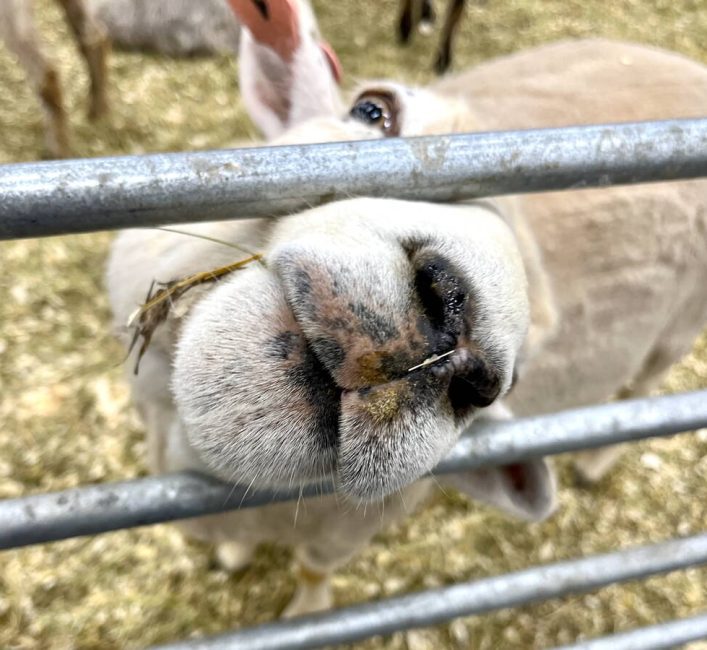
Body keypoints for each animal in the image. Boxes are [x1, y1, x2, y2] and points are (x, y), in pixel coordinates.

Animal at [107, 0, 707, 617]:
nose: (454, 337)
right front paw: (233, 557)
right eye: (373, 111)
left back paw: (595, 461)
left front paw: (306, 612)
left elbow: (312, 569)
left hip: (679, 328)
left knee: (642, 390)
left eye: (517, 378)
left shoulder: (341, 535)